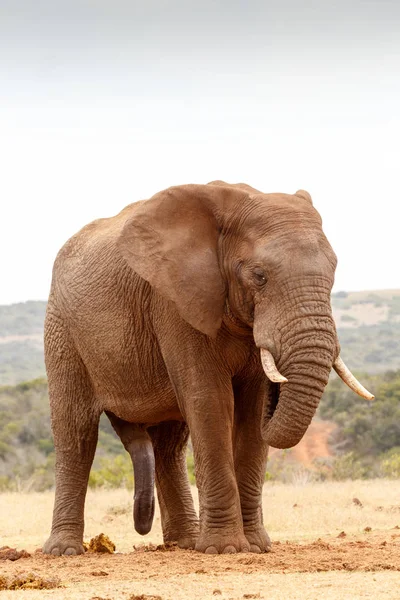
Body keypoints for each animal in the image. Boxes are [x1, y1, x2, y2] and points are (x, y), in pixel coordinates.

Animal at [43, 180, 372, 556]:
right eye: (259, 276)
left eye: (333, 274)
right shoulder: (174, 302)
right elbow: (210, 399)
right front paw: (225, 549)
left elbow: (251, 409)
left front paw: (256, 546)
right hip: (62, 329)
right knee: (76, 433)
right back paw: (64, 551)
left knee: (169, 445)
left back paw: (183, 543)